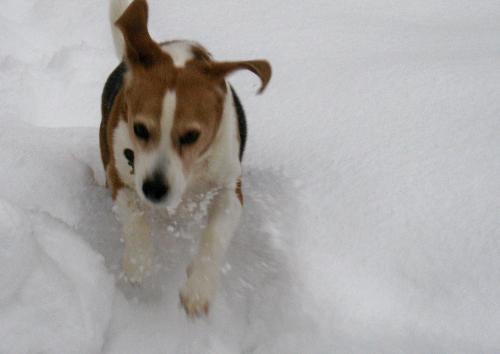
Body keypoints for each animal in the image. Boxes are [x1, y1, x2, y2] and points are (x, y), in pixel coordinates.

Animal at [99, 0, 272, 316]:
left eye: (191, 135)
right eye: (140, 129)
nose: (154, 189)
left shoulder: (229, 188)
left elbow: (215, 235)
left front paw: (199, 286)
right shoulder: (120, 176)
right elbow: (134, 218)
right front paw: (139, 263)